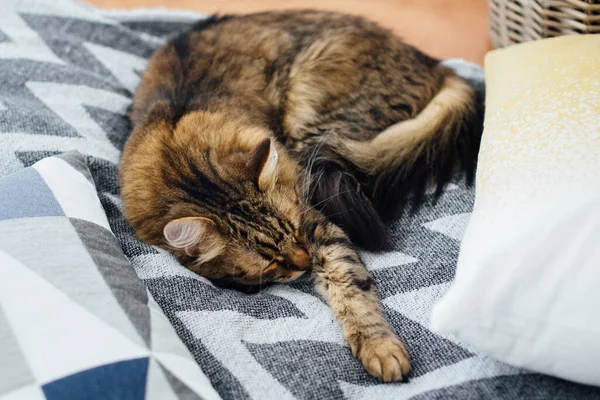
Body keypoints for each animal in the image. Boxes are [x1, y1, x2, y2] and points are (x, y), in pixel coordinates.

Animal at [119, 9, 486, 382]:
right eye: (270, 262)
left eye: (295, 231)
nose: (305, 262)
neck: (183, 167)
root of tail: (435, 65)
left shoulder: (317, 222)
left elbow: (350, 284)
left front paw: (379, 345)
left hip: (315, 125)